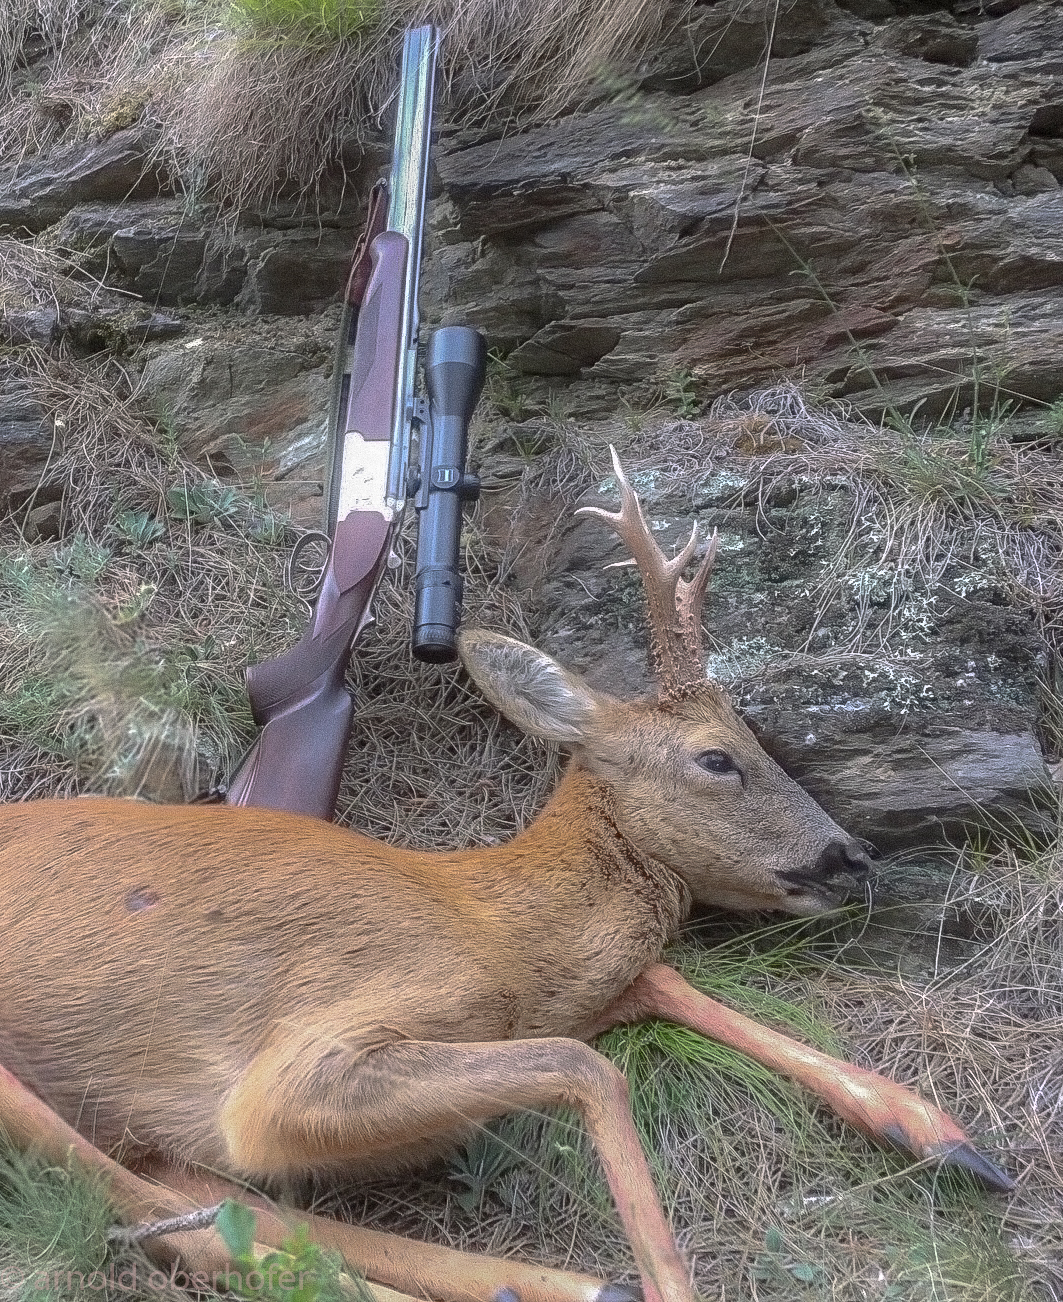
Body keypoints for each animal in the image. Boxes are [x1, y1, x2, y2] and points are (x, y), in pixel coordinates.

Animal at [0, 450, 1012, 1302]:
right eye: (718, 757)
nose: (851, 855)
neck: (497, 929)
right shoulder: (311, 1053)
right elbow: (584, 1066)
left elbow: (660, 982)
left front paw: (946, 1137)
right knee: (175, 1218)